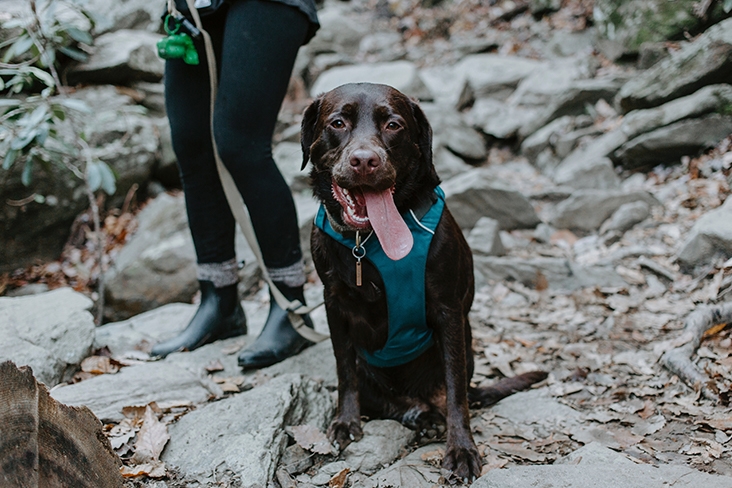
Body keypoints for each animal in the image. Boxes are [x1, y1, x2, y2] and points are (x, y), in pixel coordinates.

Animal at [300, 83, 548, 480]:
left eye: (394, 125)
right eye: (337, 123)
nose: (365, 161)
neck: (370, 242)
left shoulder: (448, 312)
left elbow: (456, 391)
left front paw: (461, 449)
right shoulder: (333, 304)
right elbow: (344, 370)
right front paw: (346, 421)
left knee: (453, 392)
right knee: (384, 397)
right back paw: (417, 413)